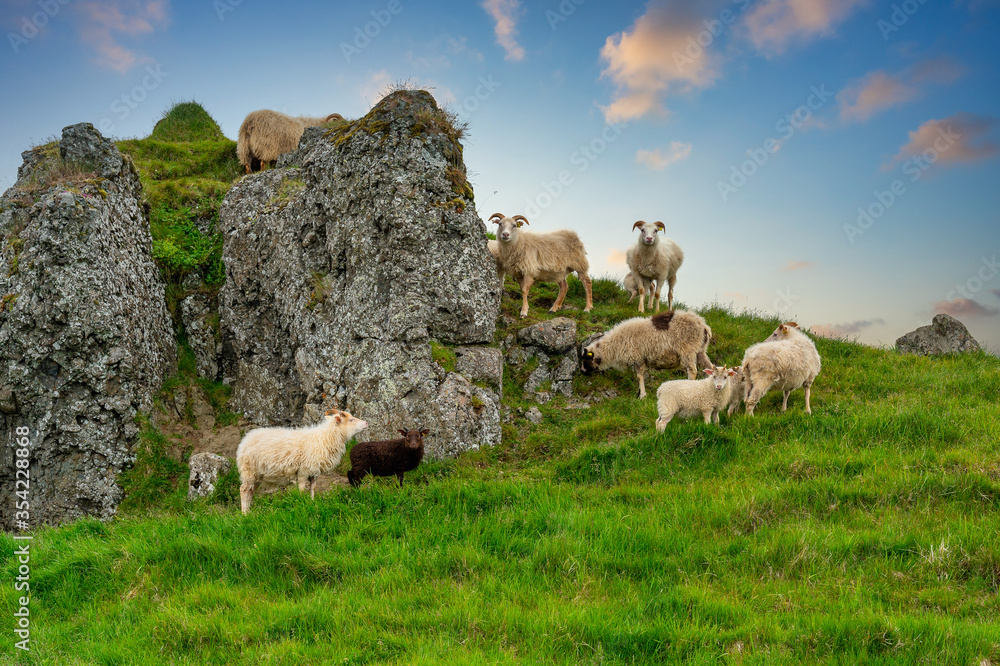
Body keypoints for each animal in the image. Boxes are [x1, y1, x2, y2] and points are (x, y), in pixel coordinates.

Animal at [236, 408, 368, 514]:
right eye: (351, 420)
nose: (366, 423)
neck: (326, 437)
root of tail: (245, 440)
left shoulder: (313, 472)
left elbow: (313, 489)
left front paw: (312, 503)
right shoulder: (303, 471)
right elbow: (302, 490)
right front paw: (301, 504)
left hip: (257, 475)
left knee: (250, 492)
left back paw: (250, 512)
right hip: (249, 471)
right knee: (243, 490)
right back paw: (244, 514)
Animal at [579, 310, 713, 399]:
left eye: (586, 359)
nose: (582, 371)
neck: (614, 346)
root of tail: (703, 325)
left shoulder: (637, 358)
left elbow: (639, 376)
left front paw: (642, 395)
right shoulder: (642, 359)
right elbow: (641, 375)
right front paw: (639, 393)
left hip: (688, 350)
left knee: (692, 371)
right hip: (700, 351)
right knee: (711, 368)